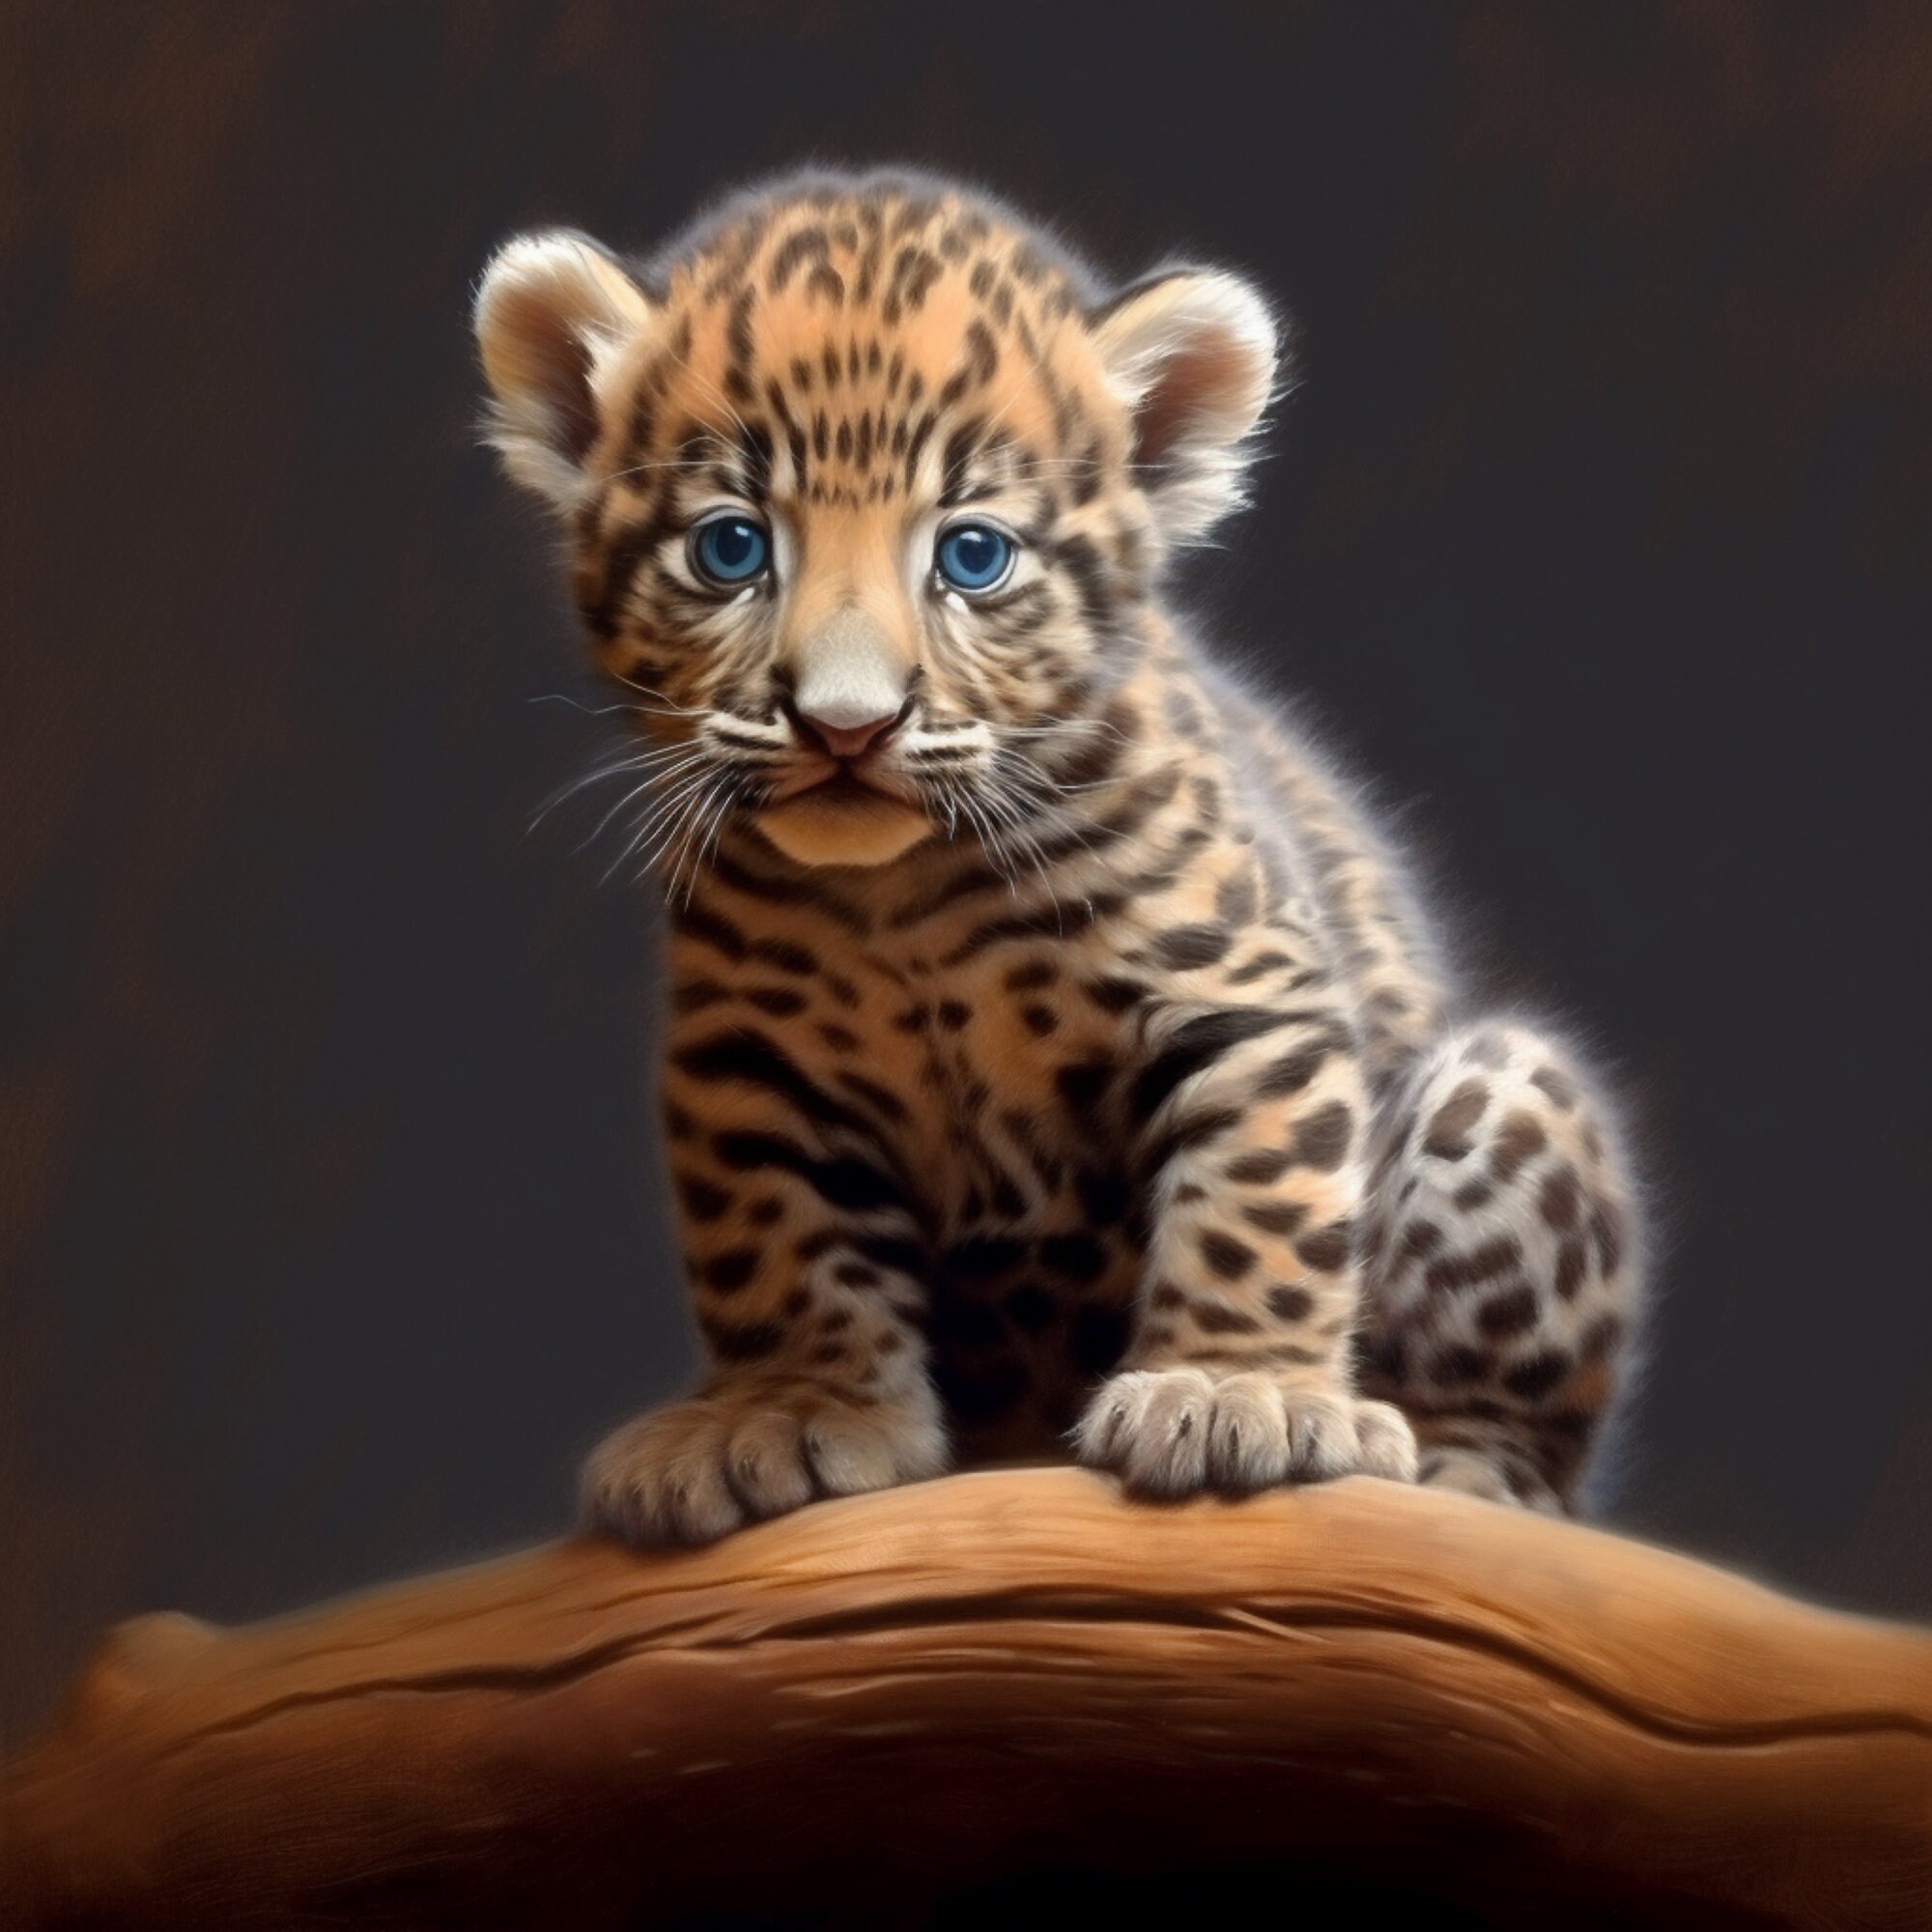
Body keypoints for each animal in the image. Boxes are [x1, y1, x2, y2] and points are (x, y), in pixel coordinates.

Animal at [472, 166, 1642, 1545]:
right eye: (730, 547)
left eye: (971, 555)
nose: (846, 724)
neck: (902, 897)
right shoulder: (744, 1063)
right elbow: (774, 1239)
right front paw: (790, 1407)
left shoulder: (1244, 1001)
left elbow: (1257, 1201)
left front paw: (1232, 1387)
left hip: (1507, 1091)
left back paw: (1454, 1463)